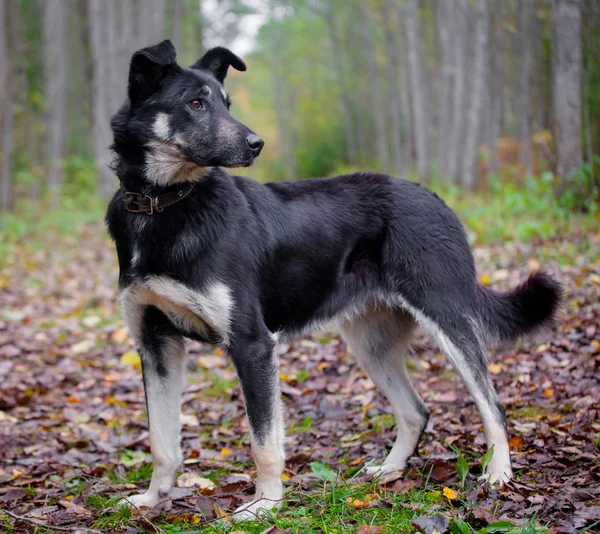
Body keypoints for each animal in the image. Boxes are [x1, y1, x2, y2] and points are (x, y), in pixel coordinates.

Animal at [105, 38, 560, 524]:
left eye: (226, 103)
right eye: (195, 103)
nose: (256, 144)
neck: (164, 204)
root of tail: (435, 198)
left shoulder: (252, 344)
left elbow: (264, 443)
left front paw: (265, 505)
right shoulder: (156, 346)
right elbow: (161, 442)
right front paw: (152, 499)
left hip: (447, 320)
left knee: (492, 404)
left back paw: (499, 473)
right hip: (371, 342)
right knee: (415, 412)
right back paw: (389, 471)